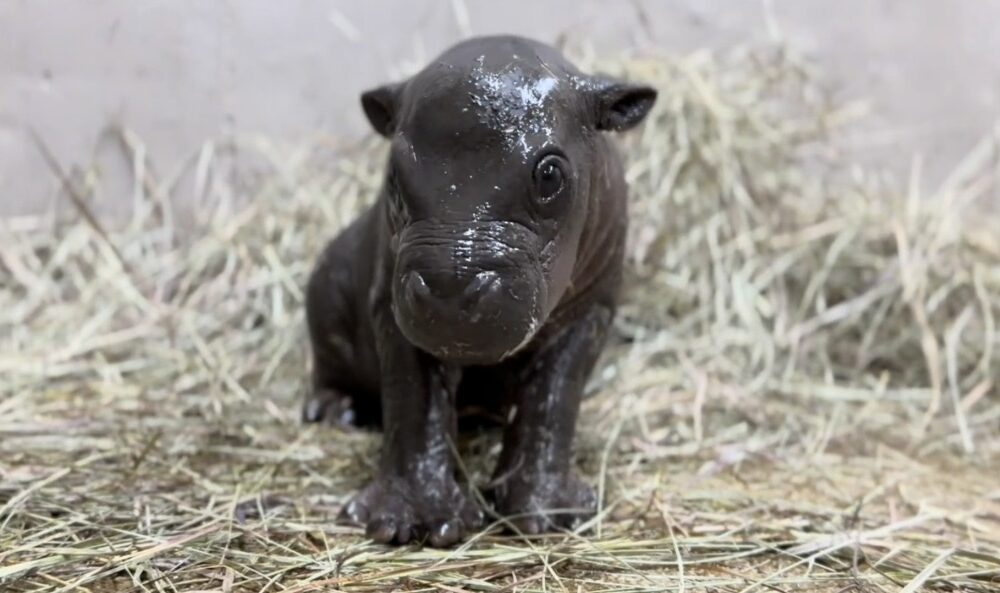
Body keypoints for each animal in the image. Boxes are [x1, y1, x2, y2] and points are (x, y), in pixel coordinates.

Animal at [303, 34, 656, 546]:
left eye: (550, 174)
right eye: (393, 174)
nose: (451, 287)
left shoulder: (590, 312)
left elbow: (553, 399)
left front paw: (547, 517)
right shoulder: (393, 311)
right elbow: (415, 403)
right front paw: (414, 524)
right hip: (326, 288)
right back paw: (337, 412)